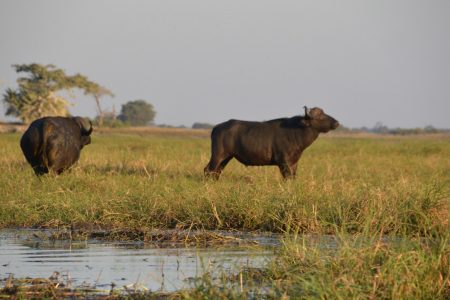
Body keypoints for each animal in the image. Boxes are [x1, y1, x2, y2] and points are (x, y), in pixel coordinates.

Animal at [203, 106, 338, 179]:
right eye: (320, 116)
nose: (336, 122)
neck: (296, 131)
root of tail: (216, 128)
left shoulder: (294, 163)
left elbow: (293, 177)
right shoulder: (284, 163)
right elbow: (288, 178)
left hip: (226, 157)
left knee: (217, 172)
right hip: (218, 155)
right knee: (208, 170)